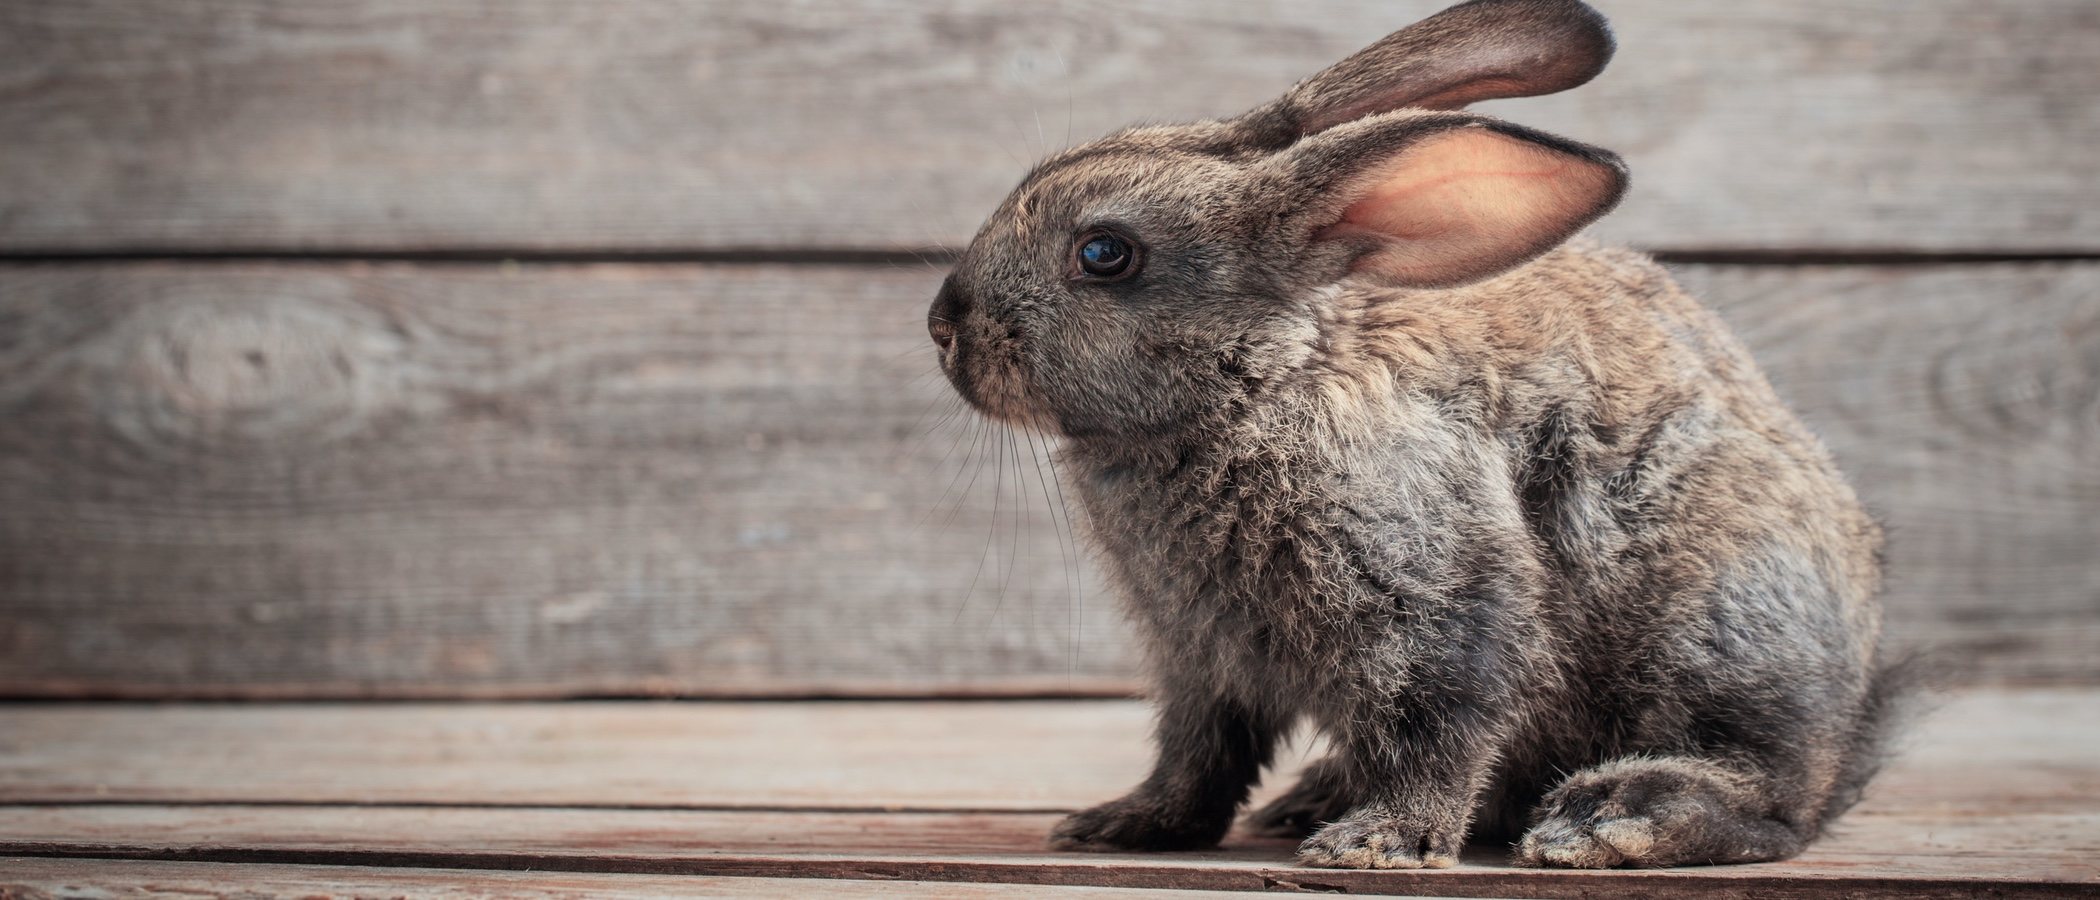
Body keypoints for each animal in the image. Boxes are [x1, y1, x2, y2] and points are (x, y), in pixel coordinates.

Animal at [926, 0, 1906, 870]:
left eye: (1104, 254)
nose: (942, 324)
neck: (1261, 381)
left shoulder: (1436, 593)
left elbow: (1440, 724)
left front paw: (1377, 842)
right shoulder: (1197, 657)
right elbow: (1198, 756)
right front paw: (1124, 823)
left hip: (1720, 633)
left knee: (1769, 803)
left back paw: (1607, 823)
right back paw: (1314, 798)